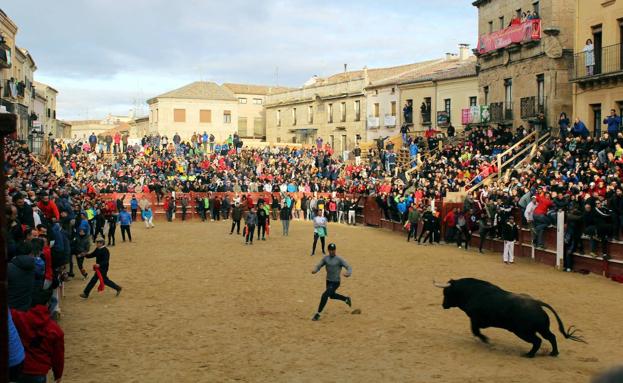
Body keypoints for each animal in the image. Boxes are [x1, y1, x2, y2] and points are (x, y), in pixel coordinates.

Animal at [436, 280, 588, 356]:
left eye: (446, 292)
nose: (443, 305)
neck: (471, 291)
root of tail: (537, 303)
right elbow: (476, 331)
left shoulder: (475, 319)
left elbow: (475, 331)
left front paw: (486, 340)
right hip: (542, 328)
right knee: (551, 337)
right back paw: (553, 353)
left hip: (523, 332)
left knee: (538, 341)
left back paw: (529, 355)